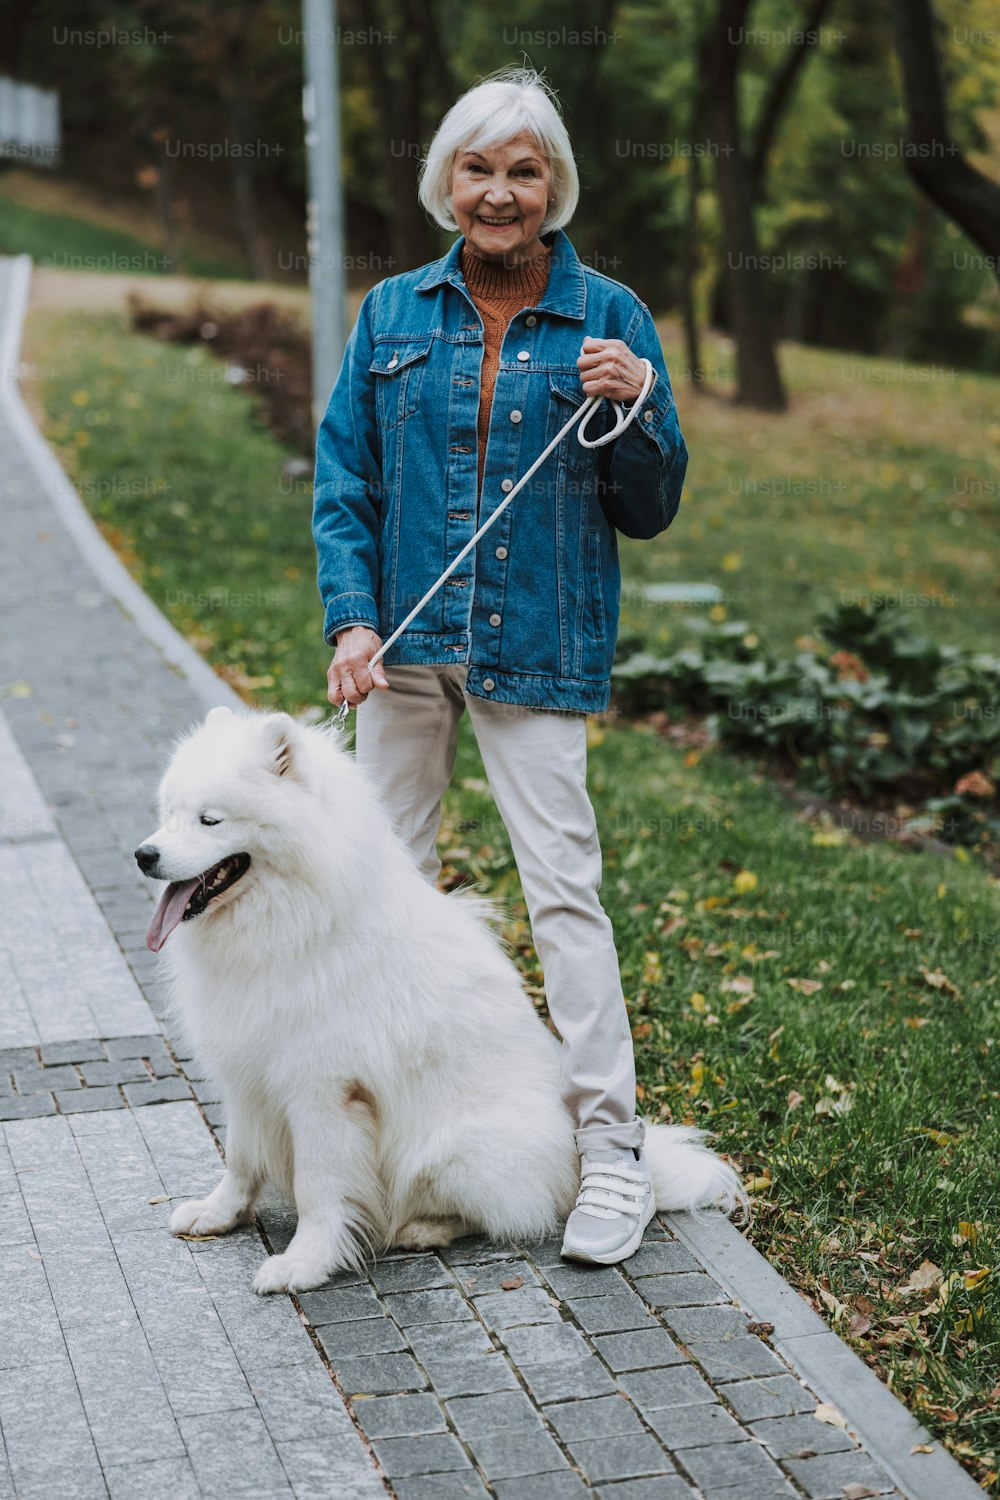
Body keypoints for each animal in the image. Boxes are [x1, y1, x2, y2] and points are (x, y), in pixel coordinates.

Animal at [134, 708, 743, 1296]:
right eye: (170, 813)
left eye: (210, 820)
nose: (144, 854)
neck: (292, 920)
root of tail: (576, 1158)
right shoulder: (248, 1068)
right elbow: (239, 1158)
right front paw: (218, 1214)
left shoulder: (324, 1091)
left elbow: (318, 1187)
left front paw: (304, 1264)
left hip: (452, 1149)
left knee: (507, 1212)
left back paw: (421, 1227)